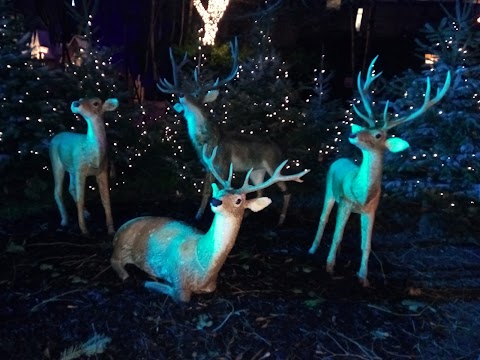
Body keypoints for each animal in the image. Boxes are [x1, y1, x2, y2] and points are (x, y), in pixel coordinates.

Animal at [49, 97, 118, 235]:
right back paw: (65, 220)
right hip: (56, 161)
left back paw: (86, 214)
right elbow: (81, 199)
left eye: (96, 103)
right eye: (81, 99)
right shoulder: (81, 169)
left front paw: (111, 229)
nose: (75, 103)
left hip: (72, 168)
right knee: (57, 191)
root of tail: (55, 136)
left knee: (70, 188)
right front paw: (84, 230)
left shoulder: (102, 171)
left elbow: (106, 200)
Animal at [110, 145, 310, 302]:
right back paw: (129, 275)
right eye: (219, 192)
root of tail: (118, 231)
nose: (215, 201)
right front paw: (149, 283)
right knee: (114, 261)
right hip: (121, 245)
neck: (205, 269)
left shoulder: (211, 286)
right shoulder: (178, 276)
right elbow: (182, 298)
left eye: (239, 200)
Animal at [158, 39, 292, 225]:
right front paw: (198, 215)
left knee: (287, 190)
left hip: (274, 165)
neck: (207, 141)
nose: (181, 96)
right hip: (257, 171)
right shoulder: (207, 165)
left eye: (197, 94)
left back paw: (281, 220)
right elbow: (206, 190)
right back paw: (250, 214)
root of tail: (279, 148)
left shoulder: (223, 164)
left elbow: (222, 190)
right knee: (260, 190)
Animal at [308, 57, 450, 286]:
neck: (362, 195)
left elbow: (366, 244)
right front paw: (329, 267)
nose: (353, 135)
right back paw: (313, 250)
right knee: (323, 220)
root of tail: (339, 159)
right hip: (329, 191)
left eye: (378, 135)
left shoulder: (371, 210)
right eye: (364, 127)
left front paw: (363, 278)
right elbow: (336, 234)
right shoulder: (345, 202)